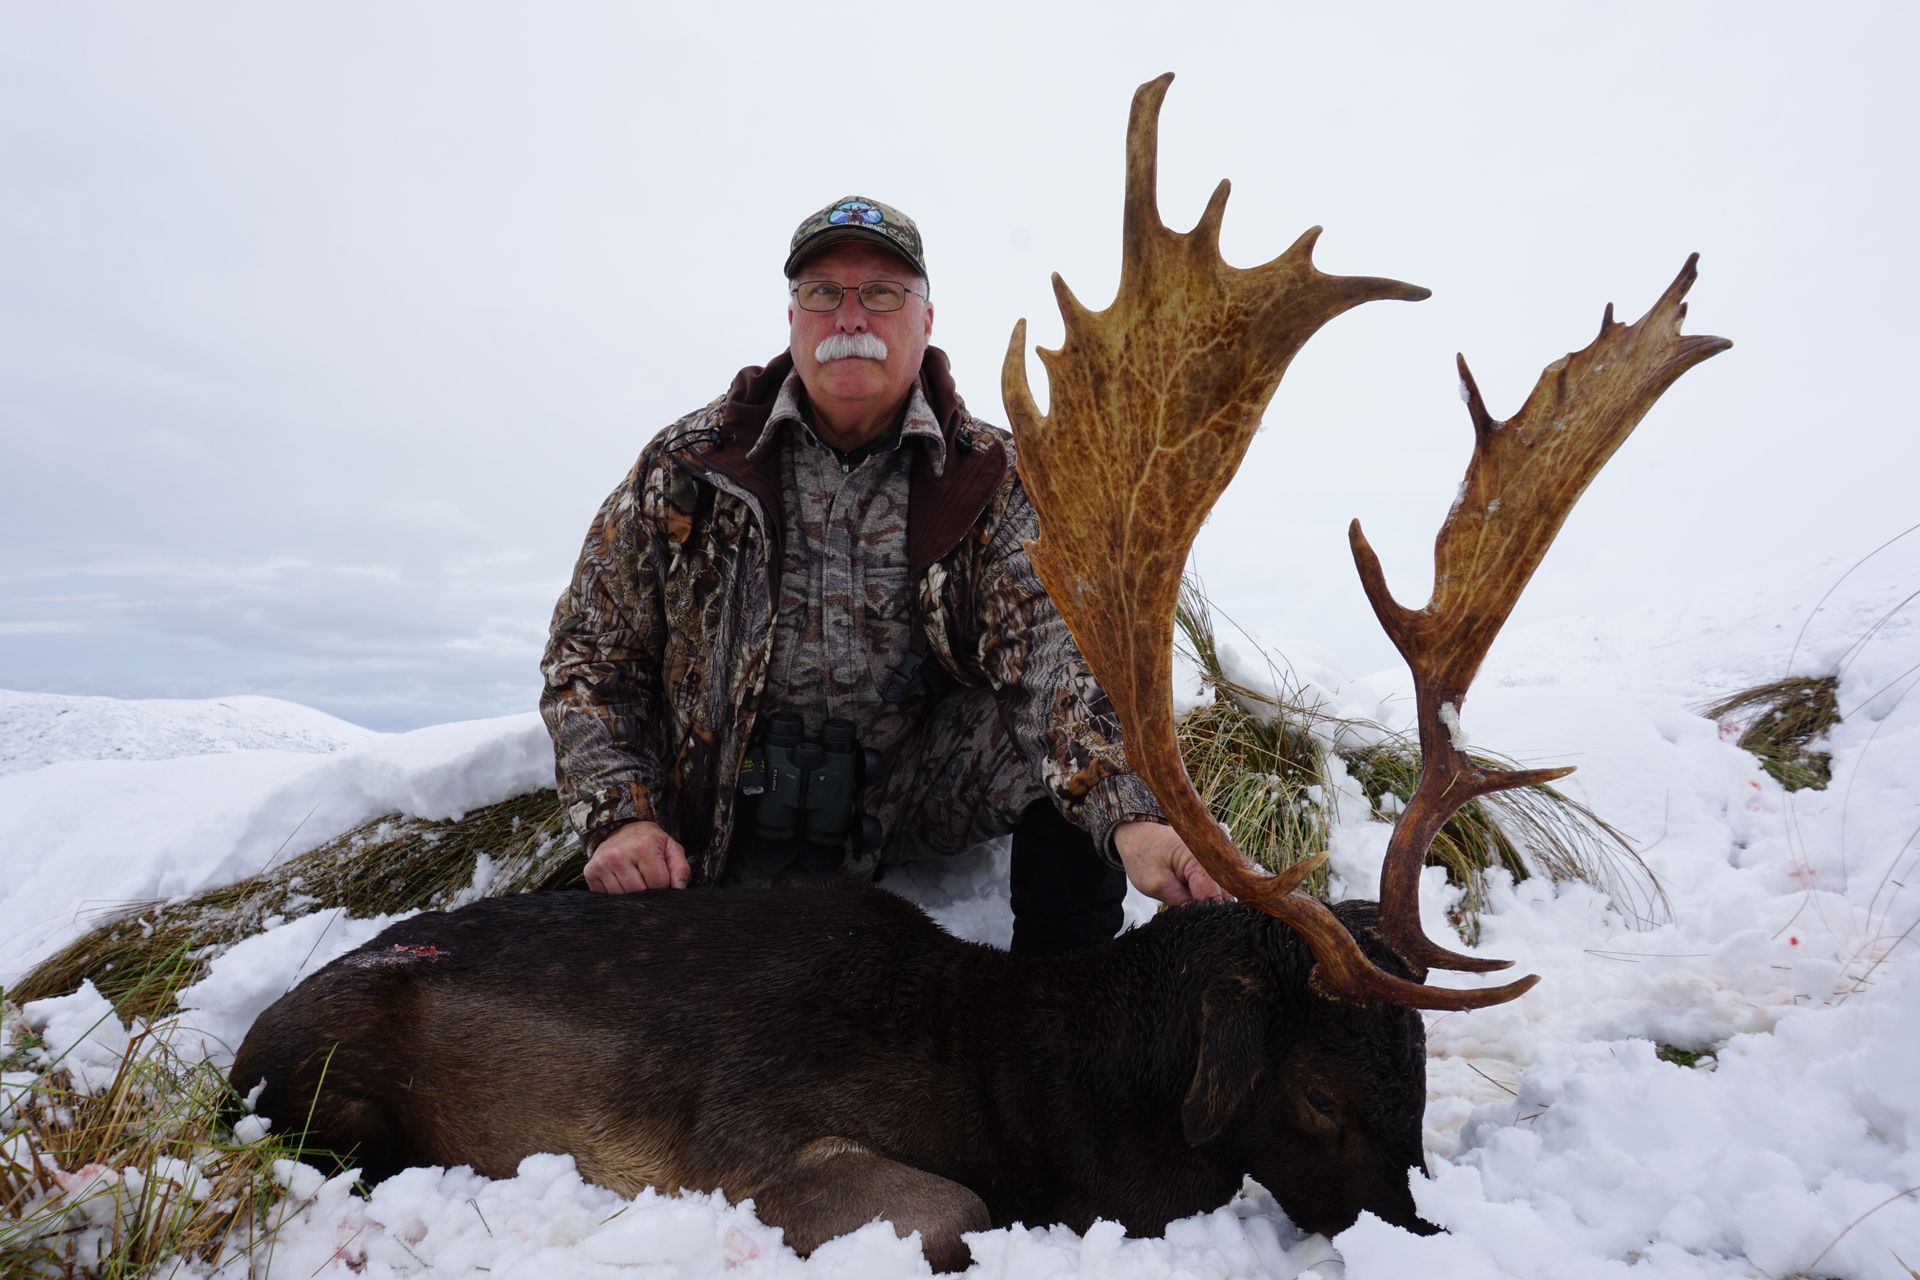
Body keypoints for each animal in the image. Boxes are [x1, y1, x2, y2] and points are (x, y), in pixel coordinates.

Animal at [227, 73, 1728, 1272]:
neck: (1037, 1088)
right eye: (1312, 1095)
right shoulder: (785, 1159)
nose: (1424, 1239)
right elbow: (952, 1210)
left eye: (1415, 1081)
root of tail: (251, 1031)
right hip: (315, 1097)